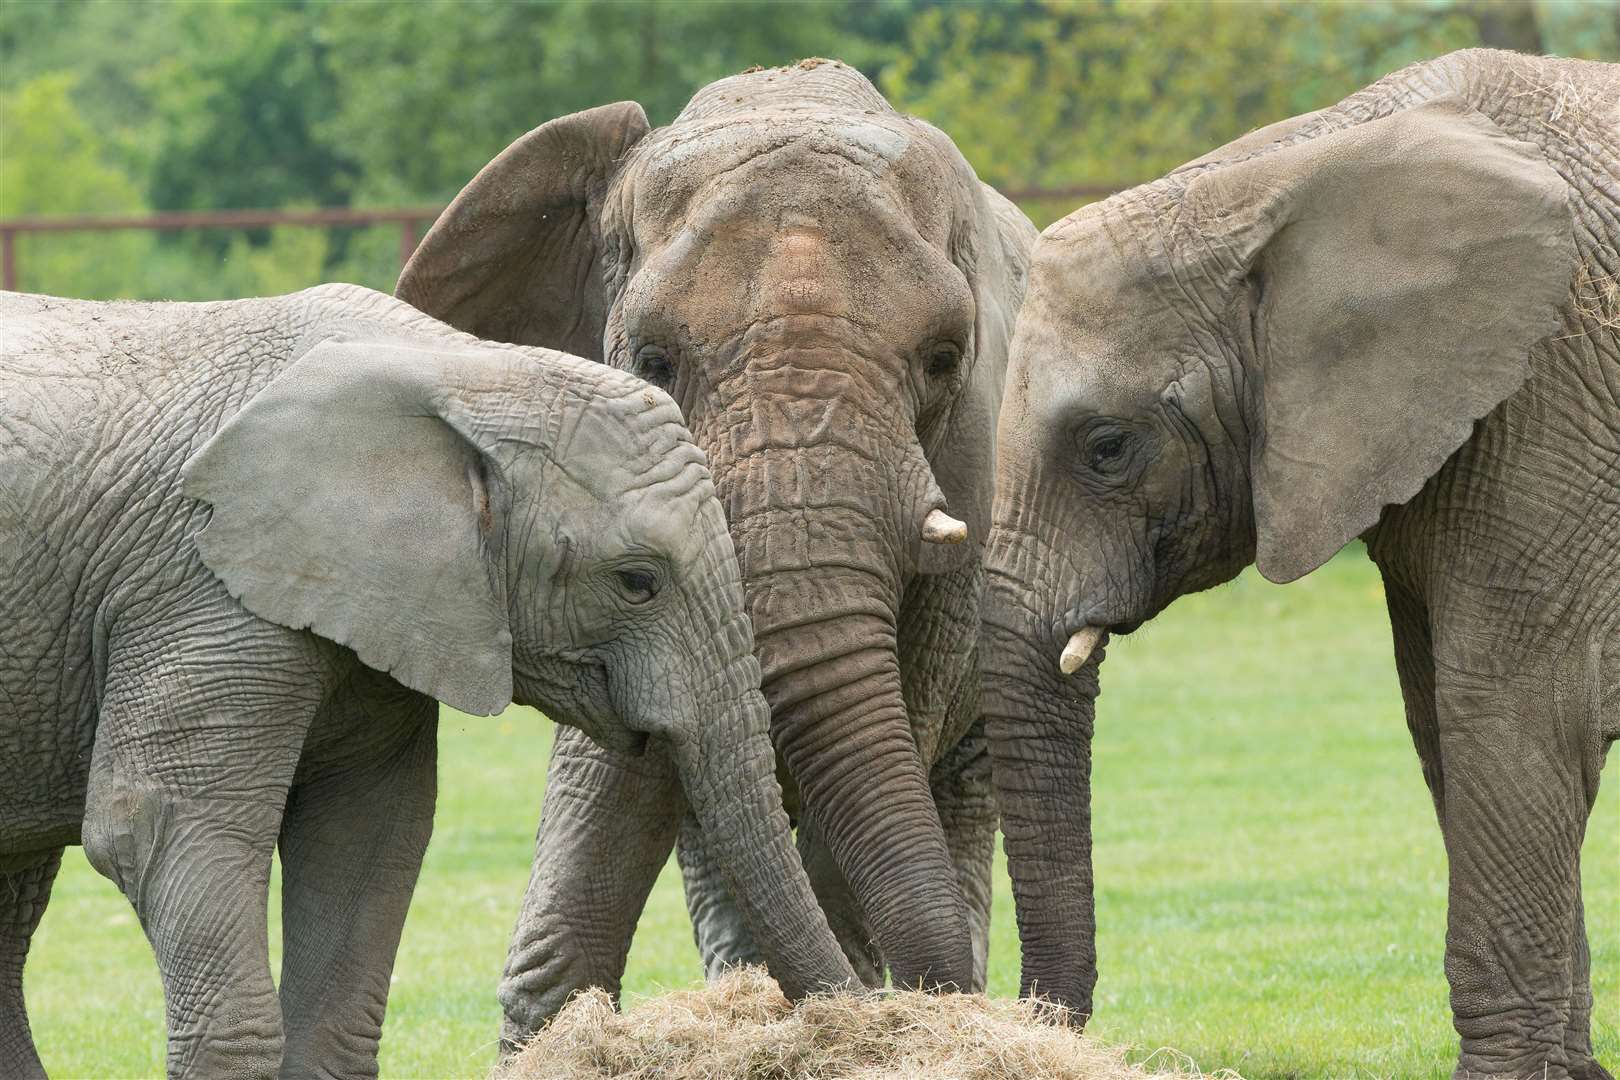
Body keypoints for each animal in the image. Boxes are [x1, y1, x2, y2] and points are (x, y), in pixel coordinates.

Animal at [0, 284, 855, 1080]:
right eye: (637, 581)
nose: (848, 1020)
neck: (463, 372)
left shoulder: (385, 607)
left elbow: (368, 834)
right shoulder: (200, 585)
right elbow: (160, 828)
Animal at [978, 48, 1620, 1080]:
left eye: (1108, 446)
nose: (1032, 1029)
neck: (1275, 181)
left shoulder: (1551, 397)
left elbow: (1519, 719)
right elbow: (1445, 723)